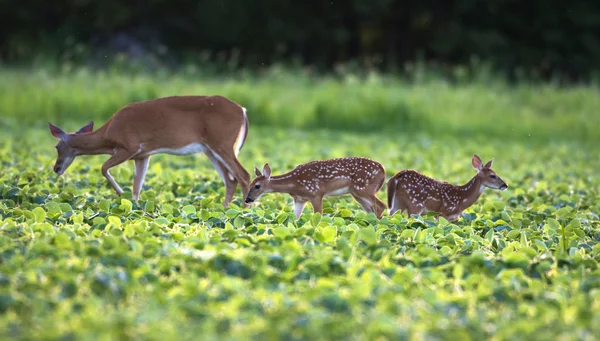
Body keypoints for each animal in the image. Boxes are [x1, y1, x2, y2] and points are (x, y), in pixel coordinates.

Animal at [48, 94, 251, 206]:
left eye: (57, 147)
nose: (56, 169)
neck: (107, 134)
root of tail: (243, 110)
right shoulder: (143, 155)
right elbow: (137, 186)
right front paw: (134, 206)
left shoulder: (129, 147)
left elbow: (103, 168)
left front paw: (121, 194)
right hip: (210, 149)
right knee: (231, 180)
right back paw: (225, 210)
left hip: (222, 143)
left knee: (244, 175)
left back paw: (244, 210)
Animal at [246, 157, 386, 219]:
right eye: (249, 185)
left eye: (257, 186)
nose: (247, 199)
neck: (294, 183)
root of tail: (383, 170)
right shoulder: (300, 199)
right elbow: (295, 218)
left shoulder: (316, 193)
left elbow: (318, 215)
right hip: (356, 194)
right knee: (371, 210)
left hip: (363, 188)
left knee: (381, 206)